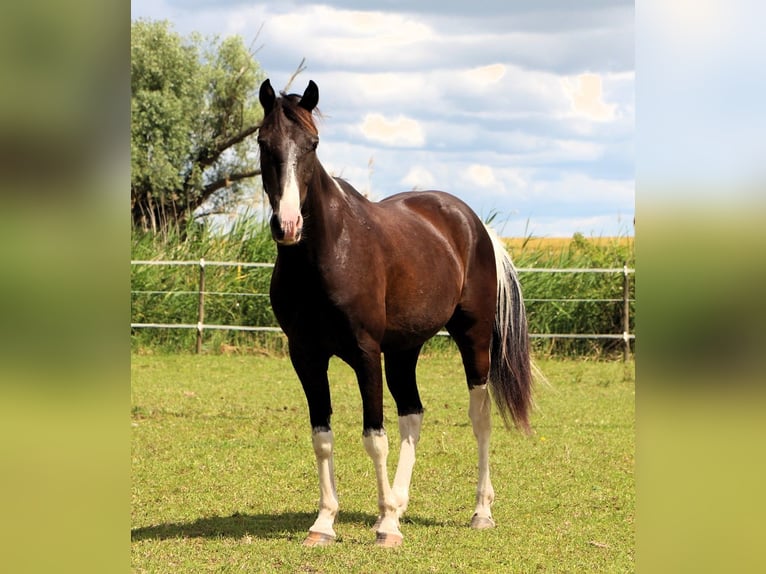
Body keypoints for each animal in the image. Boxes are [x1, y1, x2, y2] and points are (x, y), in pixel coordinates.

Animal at [258, 79, 536, 552]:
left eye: (313, 144)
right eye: (263, 142)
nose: (288, 225)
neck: (327, 253)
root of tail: (475, 225)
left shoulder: (366, 354)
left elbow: (374, 438)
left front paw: (387, 527)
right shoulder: (306, 356)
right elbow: (322, 438)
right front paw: (325, 523)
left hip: (474, 339)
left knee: (479, 418)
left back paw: (479, 512)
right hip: (406, 350)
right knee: (413, 414)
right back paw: (399, 503)